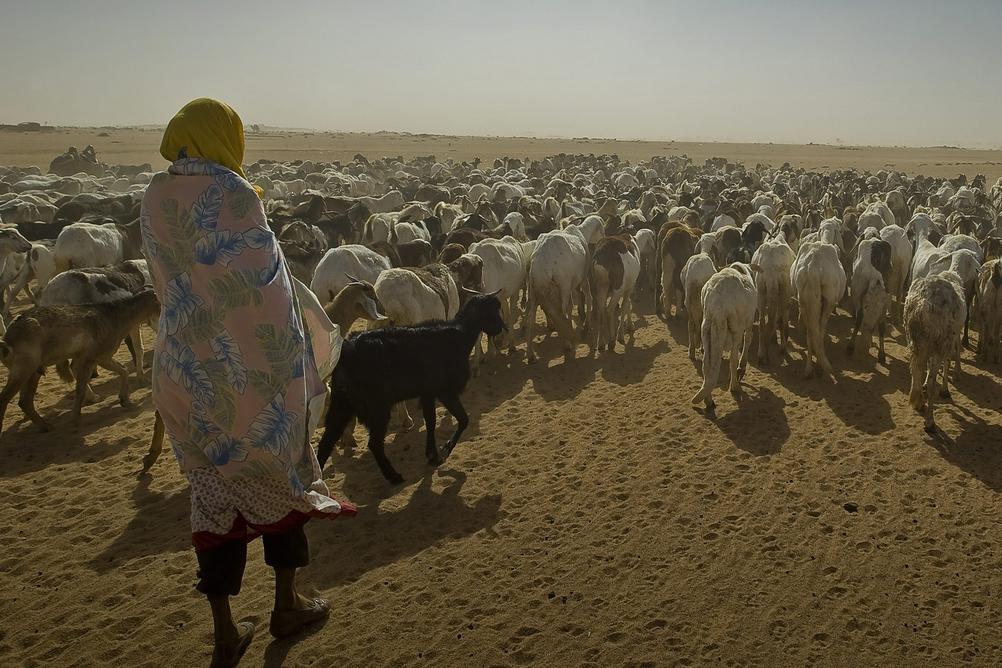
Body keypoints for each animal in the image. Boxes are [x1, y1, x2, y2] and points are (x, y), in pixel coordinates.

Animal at [318, 292, 509, 480]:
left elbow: (431, 420)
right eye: (492, 313)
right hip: (377, 406)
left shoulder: (428, 393)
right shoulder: (445, 391)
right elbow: (463, 419)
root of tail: (347, 350)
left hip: (341, 403)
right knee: (374, 443)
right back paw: (393, 476)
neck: (460, 336)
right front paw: (445, 450)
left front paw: (432, 455)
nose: (501, 328)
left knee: (326, 442)